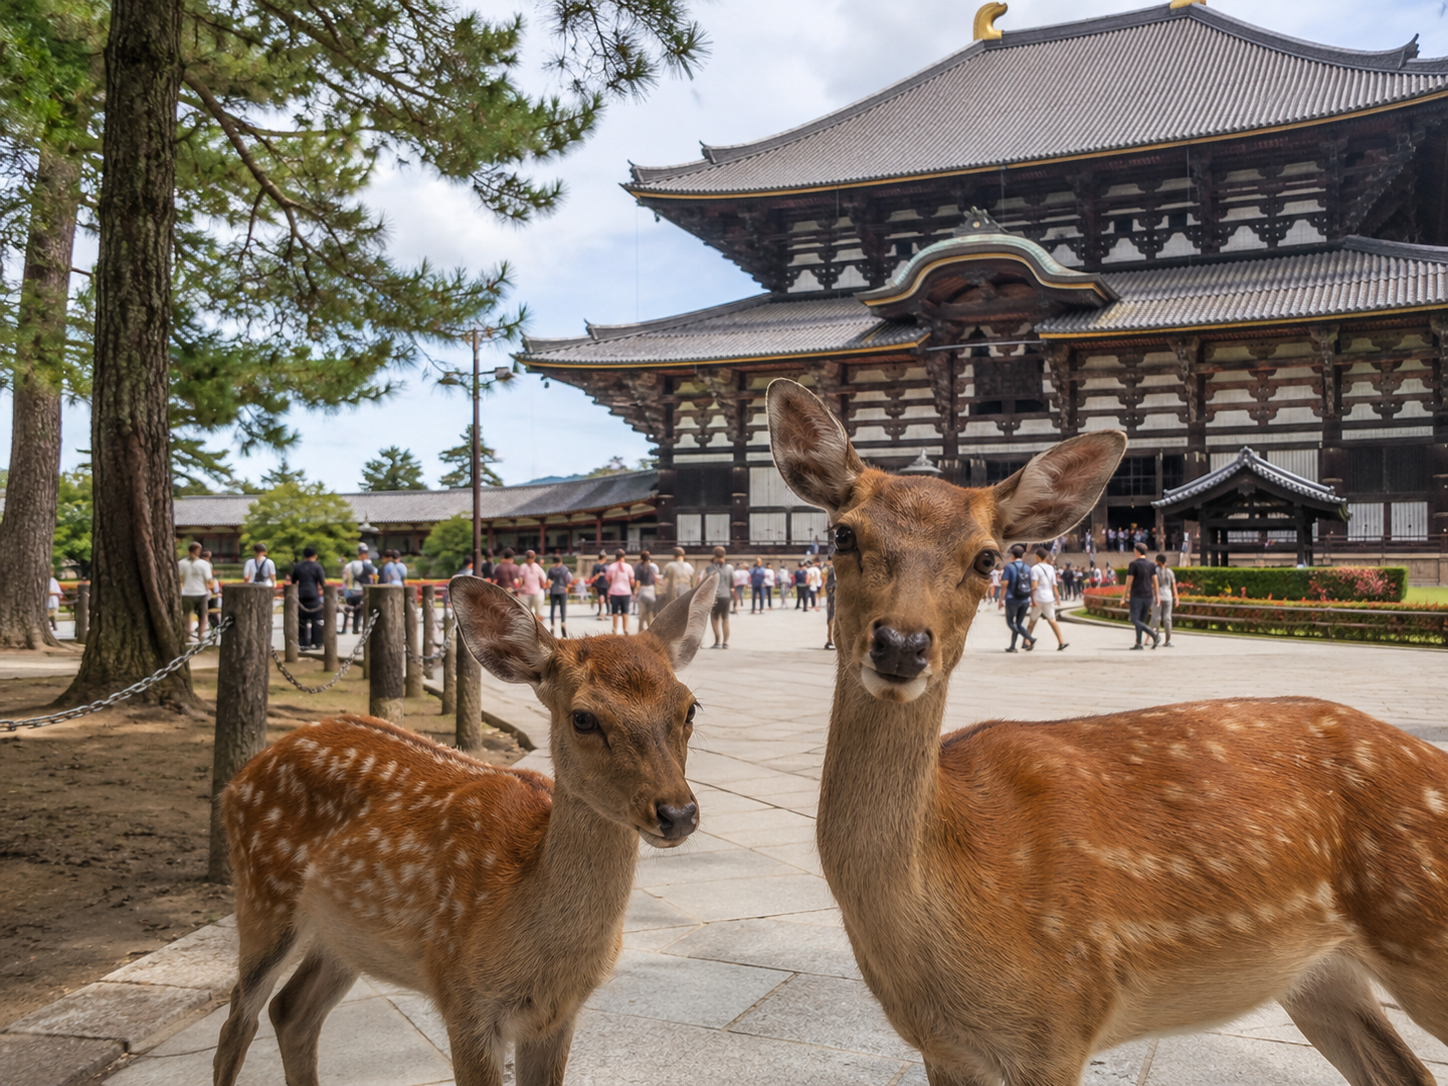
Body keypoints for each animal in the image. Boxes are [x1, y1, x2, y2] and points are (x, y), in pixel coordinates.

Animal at [212, 572, 716, 1086]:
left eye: (690, 708)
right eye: (583, 717)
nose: (677, 812)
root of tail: (237, 780)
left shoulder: (559, 1013)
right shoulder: (462, 995)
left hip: (343, 935)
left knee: (291, 1010)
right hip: (262, 896)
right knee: (238, 1022)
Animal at [766, 377, 1448, 1086]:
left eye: (987, 557)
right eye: (842, 535)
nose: (901, 644)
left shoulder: (1062, 1016)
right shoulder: (944, 1049)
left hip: (1425, 932)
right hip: (1320, 978)